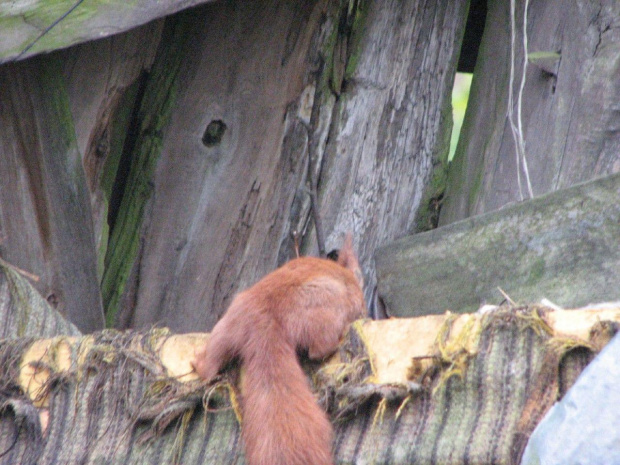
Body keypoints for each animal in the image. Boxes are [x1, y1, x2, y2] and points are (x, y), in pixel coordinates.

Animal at [194, 236, 366, 464]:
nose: (365, 310)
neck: (345, 273)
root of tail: (265, 321)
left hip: (227, 326)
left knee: (210, 365)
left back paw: (198, 363)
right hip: (322, 311)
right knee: (318, 350)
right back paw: (337, 341)